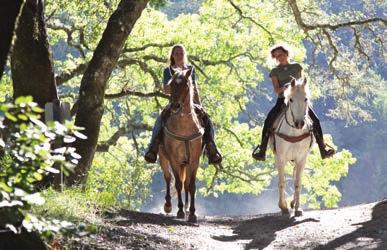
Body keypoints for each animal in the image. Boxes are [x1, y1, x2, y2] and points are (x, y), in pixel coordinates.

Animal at [159, 67, 205, 223]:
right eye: (171, 84)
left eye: (186, 84)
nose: (175, 106)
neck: (184, 128)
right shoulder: (174, 159)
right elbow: (178, 184)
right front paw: (179, 211)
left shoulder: (194, 160)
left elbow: (191, 186)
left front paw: (192, 213)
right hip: (163, 158)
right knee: (168, 178)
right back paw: (168, 205)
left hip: (185, 163)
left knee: (186, 183)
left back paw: (186, 208)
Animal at [270, 77, 316, 216]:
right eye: (291, 99)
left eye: (306, 98)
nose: (299, 123)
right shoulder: (280, 158)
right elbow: (282, 182)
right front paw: (283, 207)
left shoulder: (302, 158)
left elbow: (297, 182)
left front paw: (297, 208)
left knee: (295, 175)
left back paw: (293, 202)